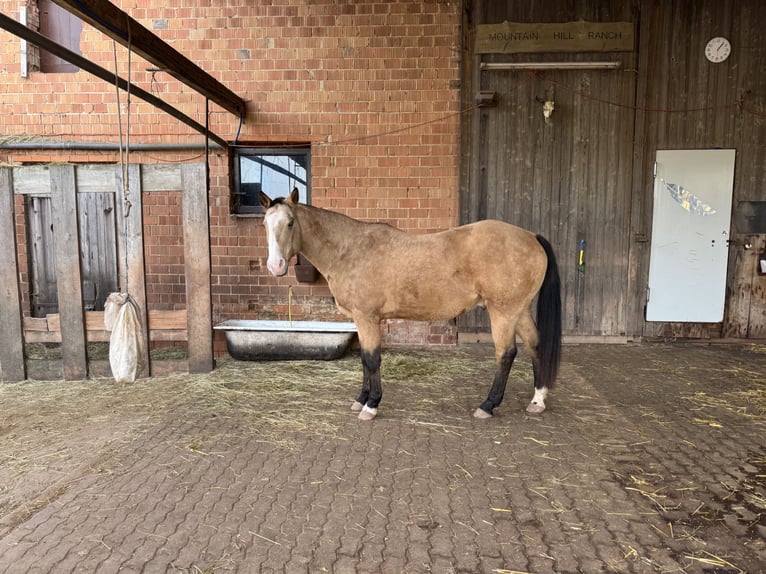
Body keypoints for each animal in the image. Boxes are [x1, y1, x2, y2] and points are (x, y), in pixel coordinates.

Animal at [259, 188, 562, 421]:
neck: (349, 249)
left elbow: (372, 358)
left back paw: (487, 405)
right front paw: (361, 398)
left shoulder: (367, 317)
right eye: (264, 225)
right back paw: (538, 400)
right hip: (519, 310)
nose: (276, 266)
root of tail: (531, 237)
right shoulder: (362, 319)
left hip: (503, 311)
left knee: (506, 353)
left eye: (290, 223)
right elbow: (365, 360)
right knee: (535, 344)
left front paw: (371, 405)